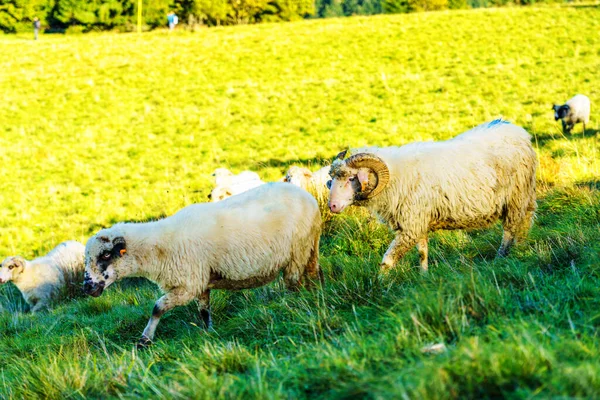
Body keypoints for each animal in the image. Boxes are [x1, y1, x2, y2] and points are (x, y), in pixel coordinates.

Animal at [83, 183, 324, 348]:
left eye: (106, 255)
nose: (87, 287)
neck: (159, 247)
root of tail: (309, 197)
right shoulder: (201, 282)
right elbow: (204, 311)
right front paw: (209, 333)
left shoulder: (188, 285)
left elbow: (157, 307)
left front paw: (144, 339)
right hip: (310, 247)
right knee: (314, 273)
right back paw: (314, 296)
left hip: (297, 252)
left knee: (293, 283)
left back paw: (292, 305)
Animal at [328, 119, 540, 272]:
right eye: (333, 178)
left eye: (352, 178)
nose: (332, 206)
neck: (395, 177)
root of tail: (517, 130)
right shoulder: (418, 223)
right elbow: (423, 252)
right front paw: (424, 276)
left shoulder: (411, 225)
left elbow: (387, 260)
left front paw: (380, 285)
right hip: (526, 195)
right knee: (526, 221)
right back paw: (521, 247)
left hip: (515, 197)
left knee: (510, 230)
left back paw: (501, 257)